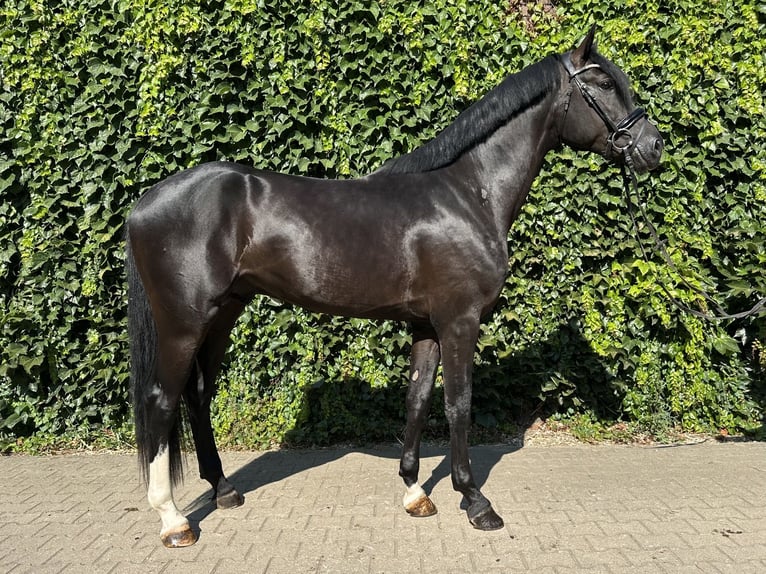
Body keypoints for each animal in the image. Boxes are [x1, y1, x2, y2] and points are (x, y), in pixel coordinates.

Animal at [126, 26, 663, 547]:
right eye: (605, 83)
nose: (653, 147)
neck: (468, 194)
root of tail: (145, 203)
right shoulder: (460, 322)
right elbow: (458, 405)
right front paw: (475, 500)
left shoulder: (427, 326)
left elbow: (418, 399)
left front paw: (414, 492)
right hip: (183, 323)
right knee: (160, 400)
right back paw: (174, 520)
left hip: (223, 314)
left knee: (197, 395)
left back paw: (223, 490)